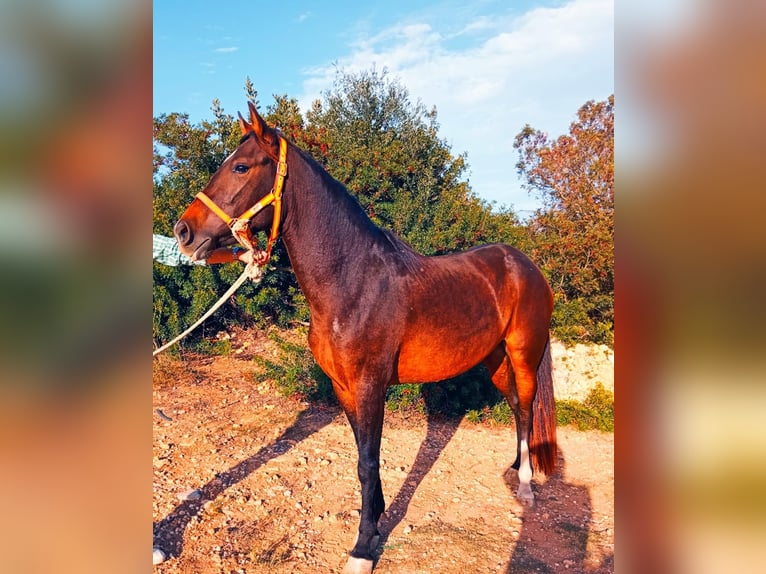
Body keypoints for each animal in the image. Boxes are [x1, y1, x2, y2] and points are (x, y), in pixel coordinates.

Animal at [172, 101, 557, 574]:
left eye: (241, 166)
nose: (183, 232)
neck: (352, 280)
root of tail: (526, 265)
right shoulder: (344, 387)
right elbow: (363, 460)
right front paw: (373, 524)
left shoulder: (371, 385)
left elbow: (368, 462)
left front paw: (362, 549)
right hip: (495, 360)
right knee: (517, 408)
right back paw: (516, 467)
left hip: (523, 355)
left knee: (526, 407)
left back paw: (526, 486)